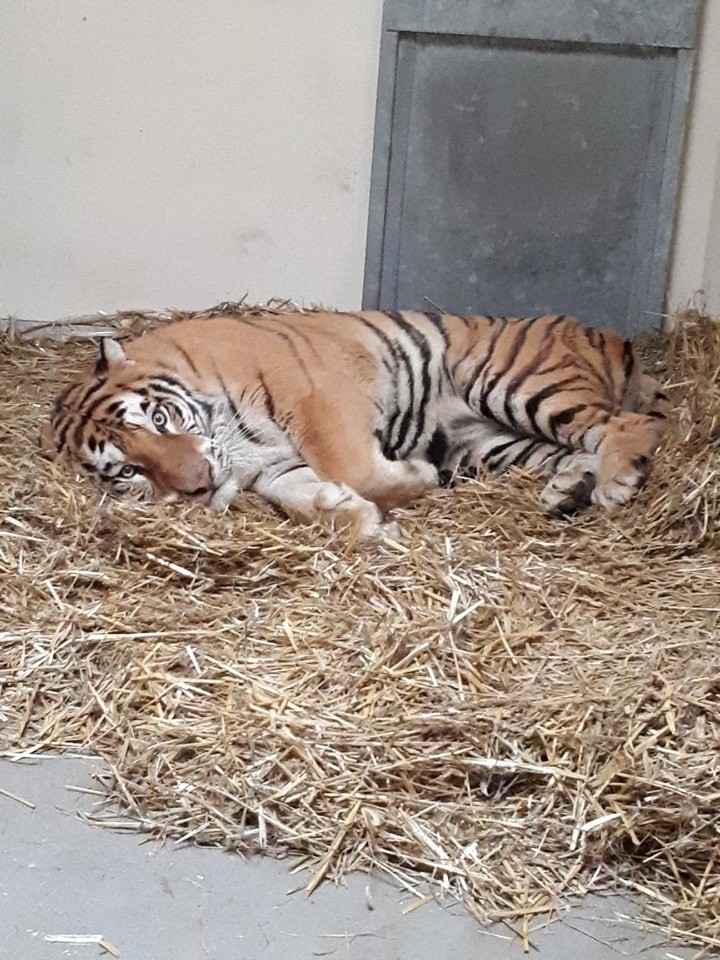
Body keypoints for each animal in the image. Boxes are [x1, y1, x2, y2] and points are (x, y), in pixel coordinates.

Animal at [39, 314, 668, 544]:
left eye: (159, 418)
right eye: (127, 471)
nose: (197, 485)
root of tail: (607, 334)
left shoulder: (316, 392)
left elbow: (351, 465)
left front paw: (409, 482)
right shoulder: (270, 465)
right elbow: (302, 494)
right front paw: (353, 517)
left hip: (511, 382)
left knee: (626, 423)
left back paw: (617, 482)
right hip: (484, 443)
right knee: (571, 450)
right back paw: (569, 492)